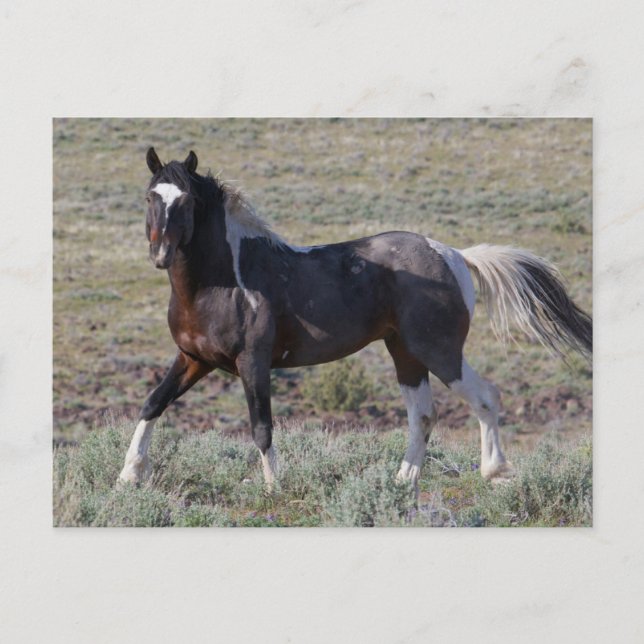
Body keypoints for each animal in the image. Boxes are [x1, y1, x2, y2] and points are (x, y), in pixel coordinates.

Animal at [118, 148, 592, 492]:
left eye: (187, 200)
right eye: (150, 197)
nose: (161, 254)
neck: (222, 282)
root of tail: (455, 254)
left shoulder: (253, 363)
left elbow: (261, 427)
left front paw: (274, 489)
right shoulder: (193, 359)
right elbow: (152, 403)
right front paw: (128, 476)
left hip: (438, 349)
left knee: (485, 397)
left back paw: (494, 472)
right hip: (405, 352)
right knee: (423, 415)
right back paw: (402, 482)